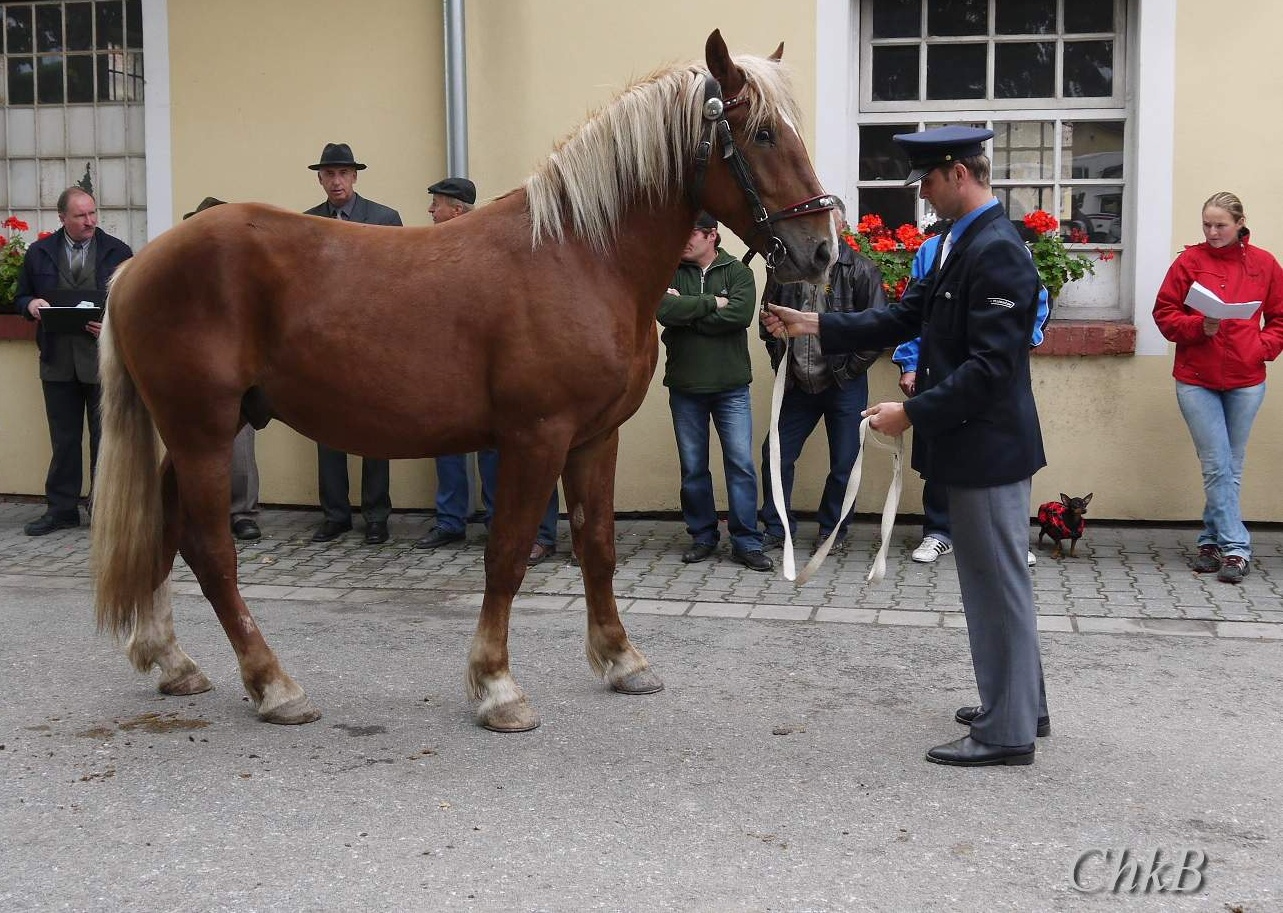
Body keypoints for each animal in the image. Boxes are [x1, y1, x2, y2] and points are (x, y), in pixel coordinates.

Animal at [90, 32, 831, 733]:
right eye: (763, 133)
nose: (821, 248)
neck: (579, 256)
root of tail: (138, 265)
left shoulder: (595, 437)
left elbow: (597, 547)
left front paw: (622, 660)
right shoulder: (536, 437)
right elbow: (506, 555)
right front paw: (497, 687)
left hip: (205, 430)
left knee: (166, 532)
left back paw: (171, 661)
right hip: (203, 431)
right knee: (212, 552)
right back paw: (274, 686)